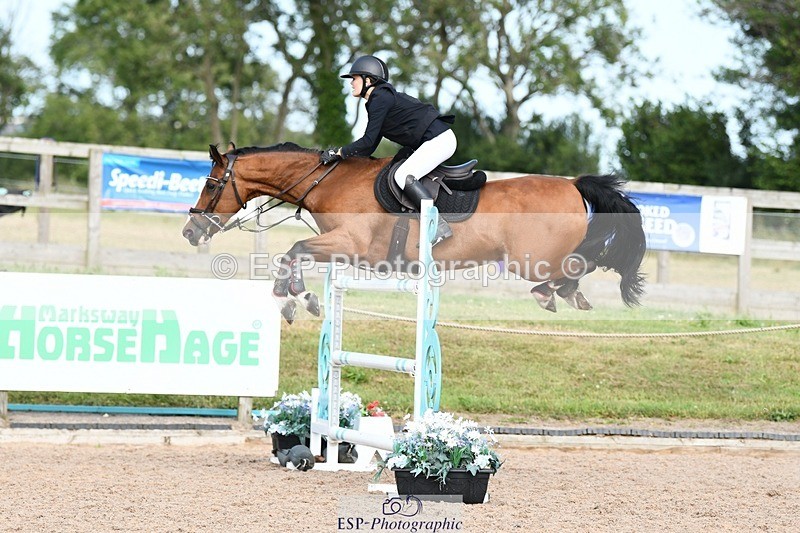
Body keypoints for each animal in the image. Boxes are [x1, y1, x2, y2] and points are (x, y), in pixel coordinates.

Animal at [182, 142, 646, 323]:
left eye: (211, 183)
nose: (190, 230)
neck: (327, 182)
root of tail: (573, 184)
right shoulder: (345, 252)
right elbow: (295, 253)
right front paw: (301, 298)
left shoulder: (352, 245)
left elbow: (293, 248)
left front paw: (297, 299)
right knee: (584, 262)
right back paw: (563, 294)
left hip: (530, 260)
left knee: (587, 261)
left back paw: (558, 294)